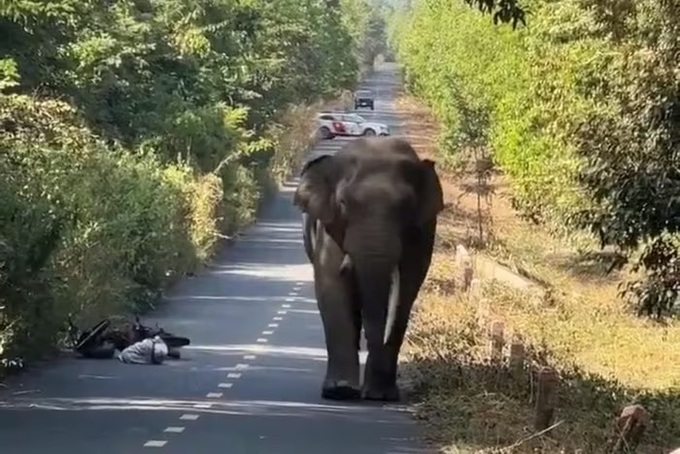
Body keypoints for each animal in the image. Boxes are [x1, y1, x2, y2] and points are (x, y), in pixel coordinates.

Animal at [293, 136, 444, 402]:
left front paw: (381, 396)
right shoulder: (329, 227)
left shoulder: (423, 231)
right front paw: (340, 391)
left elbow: (406, 290)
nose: (371, 395)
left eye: (407, 207)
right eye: (343, 203)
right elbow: (331, 286)